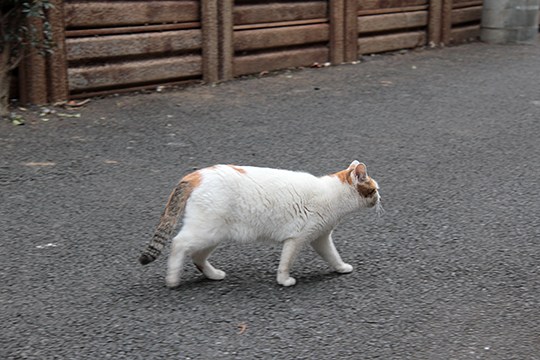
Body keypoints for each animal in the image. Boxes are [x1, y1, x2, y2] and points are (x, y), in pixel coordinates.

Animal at [141, 160, 382, 286]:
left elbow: (333, 256)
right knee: (178, 244)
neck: (334, 195)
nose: (381, 197)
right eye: (375, 189)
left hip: (213, 234)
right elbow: (285, 262)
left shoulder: (320, 238)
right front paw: (284, 280)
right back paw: (172, 279)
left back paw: (214, 275)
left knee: (197, 256)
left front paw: (341, 268)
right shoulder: (297, 239)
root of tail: (196, 175)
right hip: (205, 231)